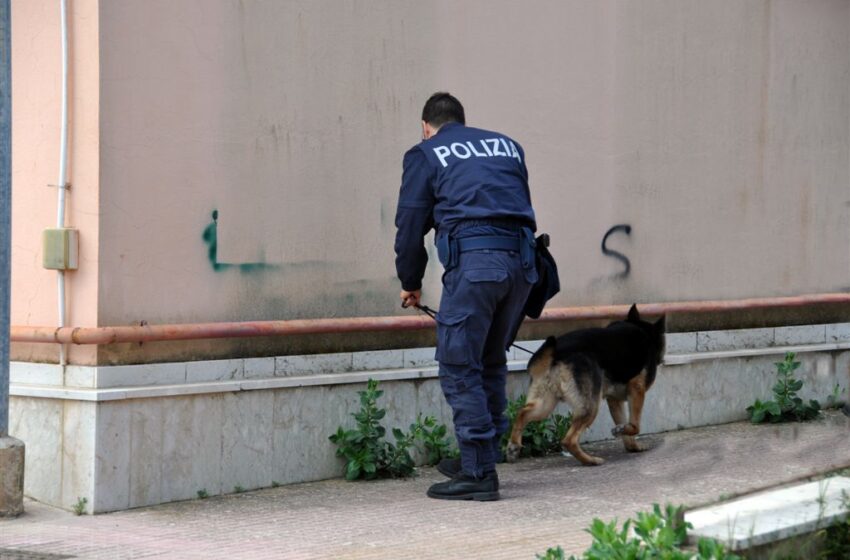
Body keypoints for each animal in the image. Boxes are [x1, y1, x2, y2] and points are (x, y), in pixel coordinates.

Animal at [504, 304, 664, 466]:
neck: (643, 329)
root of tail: (556, 354)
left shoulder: (614, 400)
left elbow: (624, 424)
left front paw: (631, 444)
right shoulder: (637, 389)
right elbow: (636, 426)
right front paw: (627, 432)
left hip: (545, 405)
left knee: (522, 413)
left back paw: (513, 446)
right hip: (590, 407)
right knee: (569, 440)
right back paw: (590, 460)